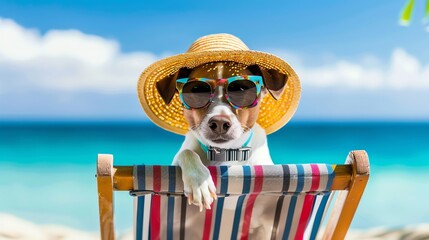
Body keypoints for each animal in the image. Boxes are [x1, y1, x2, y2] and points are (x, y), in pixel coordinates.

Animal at [155, 61, 288, 211]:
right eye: (197, 90)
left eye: (241, 89)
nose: (219, 123)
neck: (223, 154)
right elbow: (187, 152)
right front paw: (200, 182)